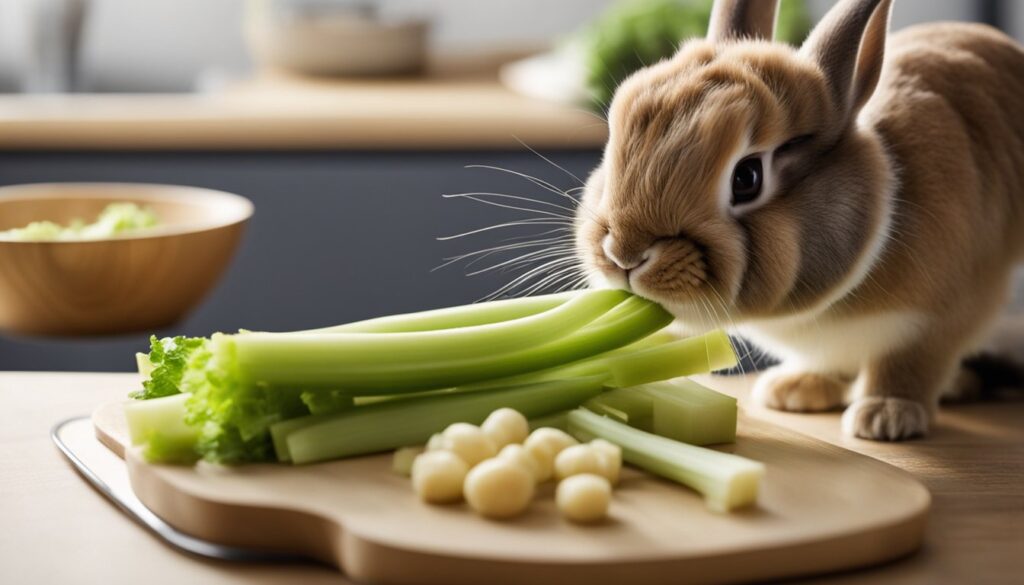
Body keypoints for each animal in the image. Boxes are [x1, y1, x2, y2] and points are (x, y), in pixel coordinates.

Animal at [573, 0, 1024, 441]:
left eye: (747, 178)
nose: (624, 255)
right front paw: (795, 391)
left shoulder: (936, 321)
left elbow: (907, 367)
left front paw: (885, 416)